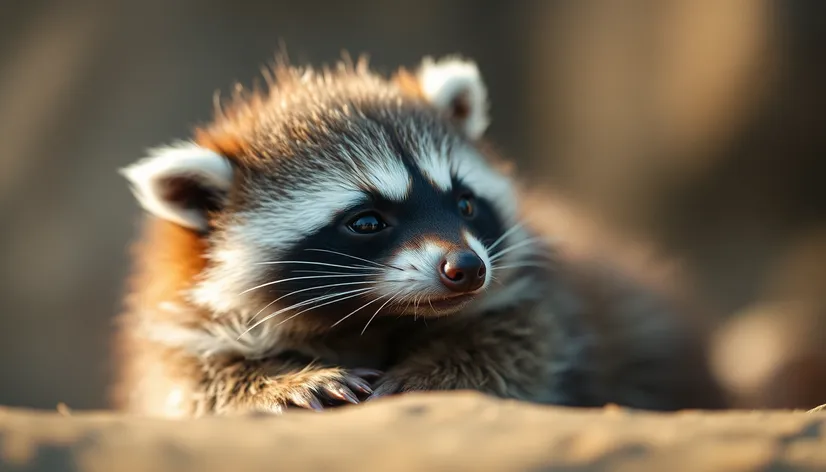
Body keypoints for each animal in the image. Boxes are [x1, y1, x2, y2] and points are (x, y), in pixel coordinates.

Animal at [112, 56, 724, 416]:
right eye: (366, 221)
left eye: (465, 203)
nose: (468, 268)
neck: (378, 317)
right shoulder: (175, 318)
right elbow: (192, 384)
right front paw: (282, 381)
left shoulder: (542, 294)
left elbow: (527, 341)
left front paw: (434, 373)